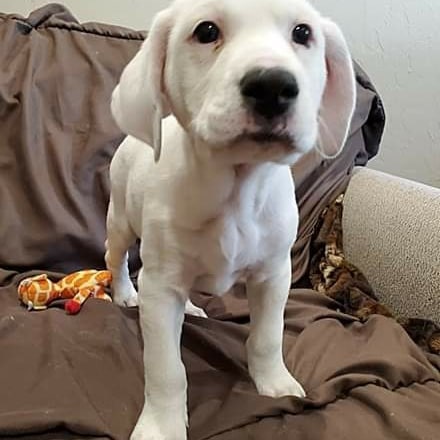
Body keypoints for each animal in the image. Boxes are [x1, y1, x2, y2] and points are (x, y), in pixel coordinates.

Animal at [107, 0, 358, 438]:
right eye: (206, 31)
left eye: (303, 33)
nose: (273, 86)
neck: (236, 192)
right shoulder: (159, 286)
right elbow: (166, 368)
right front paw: (161, 426)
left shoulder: (274, 276)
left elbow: (268, 337)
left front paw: (274, 382)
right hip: (120, 220)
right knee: (115, 257)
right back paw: (123, 292)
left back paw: (191, 309)